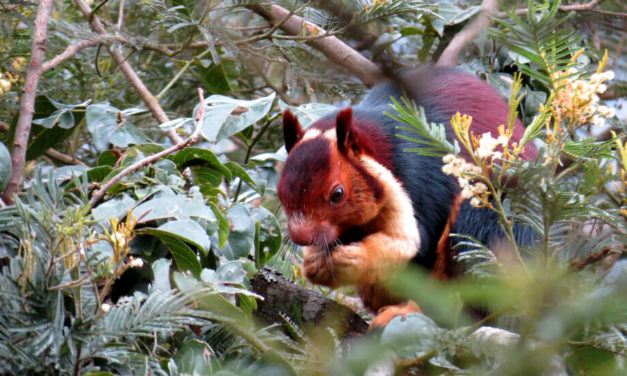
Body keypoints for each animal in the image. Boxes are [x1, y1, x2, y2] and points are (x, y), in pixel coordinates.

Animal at [278, 66, 536, 324]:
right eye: (281, 191)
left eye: (337, 194)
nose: (301, 236)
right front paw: (315, 261)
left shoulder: (422, 178)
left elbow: (415, 243)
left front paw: (356, 258)